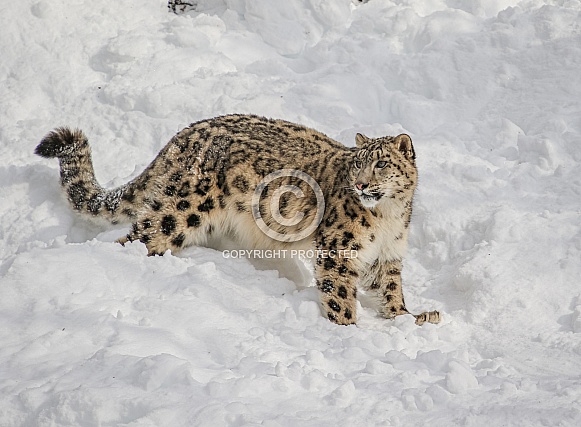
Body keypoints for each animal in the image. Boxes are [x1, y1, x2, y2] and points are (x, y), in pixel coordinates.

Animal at [35, 114, 440, 328]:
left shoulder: (387, 254)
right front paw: (348, 328)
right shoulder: (338, 250)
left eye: (381, 163)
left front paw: (408, 316)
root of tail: (181, 137)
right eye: (358, 163)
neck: (388, 217)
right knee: (141, 235)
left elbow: (390, 287)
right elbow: (338, 294)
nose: (361, 184)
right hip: (182, 211)